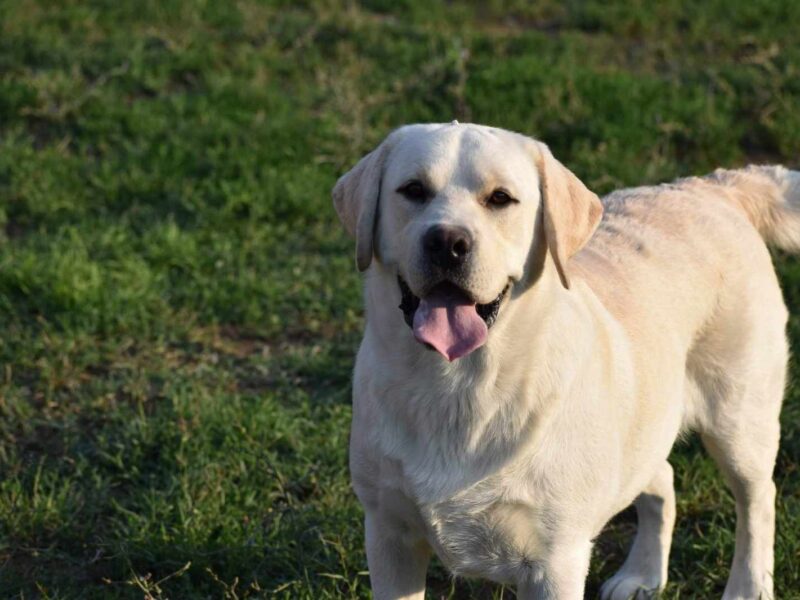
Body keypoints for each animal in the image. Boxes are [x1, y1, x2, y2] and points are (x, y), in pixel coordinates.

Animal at [332, 120, 792, 596]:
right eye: (413, 190)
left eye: (500, 198)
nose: (446, 241)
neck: (458, 387)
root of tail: (711, 186)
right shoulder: (388, 534)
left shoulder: (554, 561)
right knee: (662, 476)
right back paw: (642, 574)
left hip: (739, 419)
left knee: (759, 498)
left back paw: (748, 586)